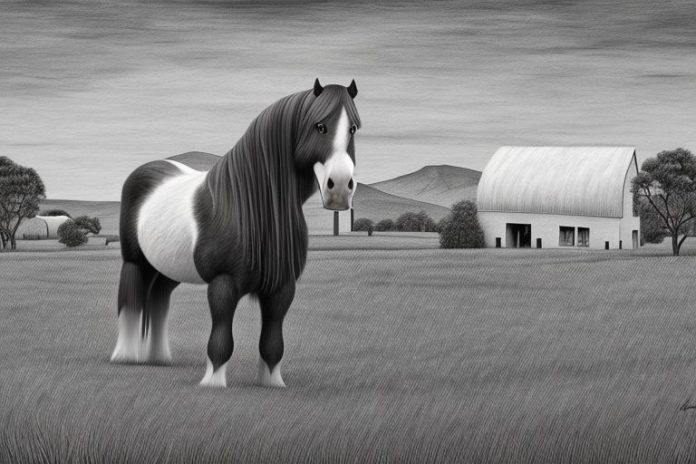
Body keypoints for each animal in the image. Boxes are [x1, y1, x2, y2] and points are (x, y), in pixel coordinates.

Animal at [110, 79, 360, 388]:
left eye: (353, 128)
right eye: (320, 126)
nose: (340, 188)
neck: (248, 207)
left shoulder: (282, 288)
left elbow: (272, 342)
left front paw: (272, 383)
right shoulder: (223, 283)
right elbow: (221, 339)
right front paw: (213, 382)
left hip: (167, 270)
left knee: (158, 301)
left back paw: (159, 358)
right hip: (135, 262)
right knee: (130, 301)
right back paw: (126, 356)